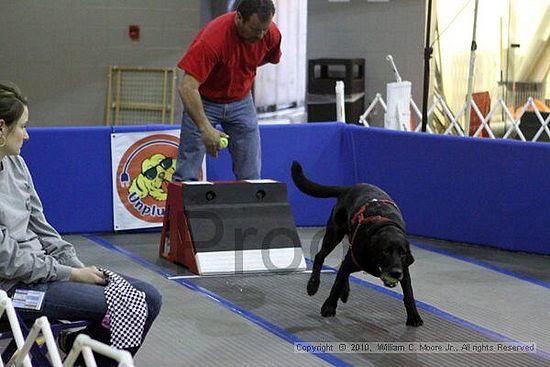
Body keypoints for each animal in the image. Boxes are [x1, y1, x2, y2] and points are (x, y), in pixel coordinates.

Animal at [292, 162, 424, 328]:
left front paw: (414, 316)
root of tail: (348, 188)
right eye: (385, 251)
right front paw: (329, 306)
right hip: (334, 233)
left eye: (402, 253)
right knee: (320, 256)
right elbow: (336, 285)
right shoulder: (354, 258)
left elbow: (409, 293)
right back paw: (313, 284)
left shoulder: (404, 269)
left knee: (342, 265)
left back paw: (345, 291)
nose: (395, 273)